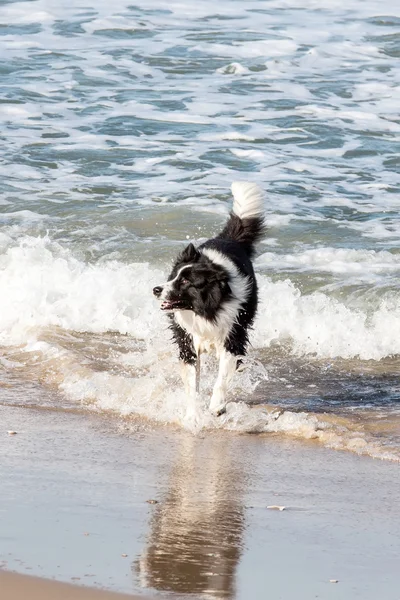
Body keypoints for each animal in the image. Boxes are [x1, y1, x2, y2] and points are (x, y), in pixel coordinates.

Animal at [152, 183, 264, 422]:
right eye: (172, 277)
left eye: (186, 281)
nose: (156, 289)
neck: (205, 310)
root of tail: (229, 239)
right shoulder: (188, 343)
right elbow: (192, 385)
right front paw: (193, 416)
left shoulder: (232, 337)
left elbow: (221, 379)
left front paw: (216, 407)